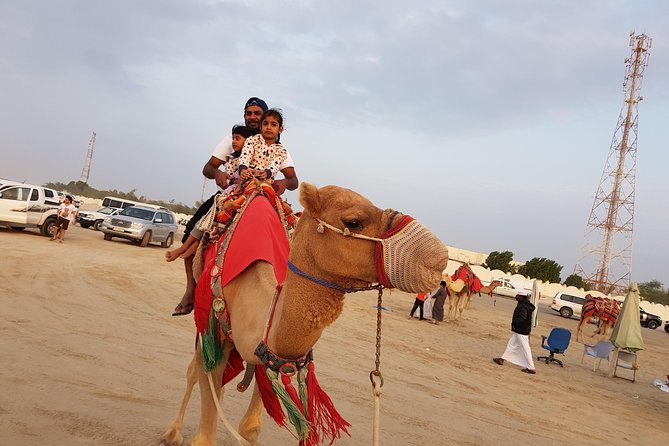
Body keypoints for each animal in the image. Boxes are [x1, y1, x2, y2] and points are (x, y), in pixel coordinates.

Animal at [160, 183, 449, 446]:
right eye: (353, 222)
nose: (438, 258)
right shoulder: (212, 329)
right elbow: (204, 428)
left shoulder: (267, 352)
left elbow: (250, 428)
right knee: (193, 372)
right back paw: (172, 433)